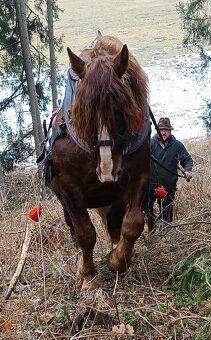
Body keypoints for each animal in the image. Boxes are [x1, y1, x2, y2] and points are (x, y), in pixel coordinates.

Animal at [47, 33, 151, 290]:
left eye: (121, 110)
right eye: (84, 113)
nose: (107, 171)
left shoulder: (139, 176)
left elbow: (133, 224)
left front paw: (117, 260)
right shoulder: (68, 186)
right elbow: (85, 234)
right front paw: (87, 275)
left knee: (114, 223)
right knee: (75, 230)